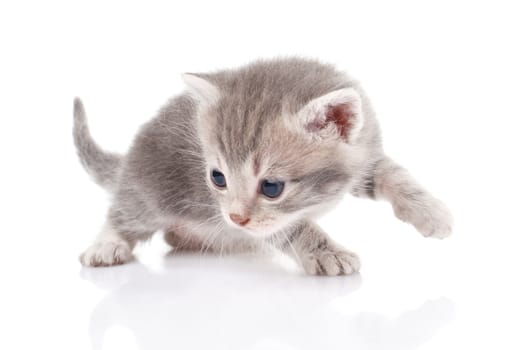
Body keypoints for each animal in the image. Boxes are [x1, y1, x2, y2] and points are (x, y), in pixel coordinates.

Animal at [75, 58, 452, 276]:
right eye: (217, 178)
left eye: (271, 186)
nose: (235, 218)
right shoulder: (269, 221)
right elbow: (297, 227)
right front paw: (327, 251)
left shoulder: (363, 155)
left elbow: (390, 173)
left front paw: (430, 212)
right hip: (150, 191)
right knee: (125, 213)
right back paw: (107, 245)